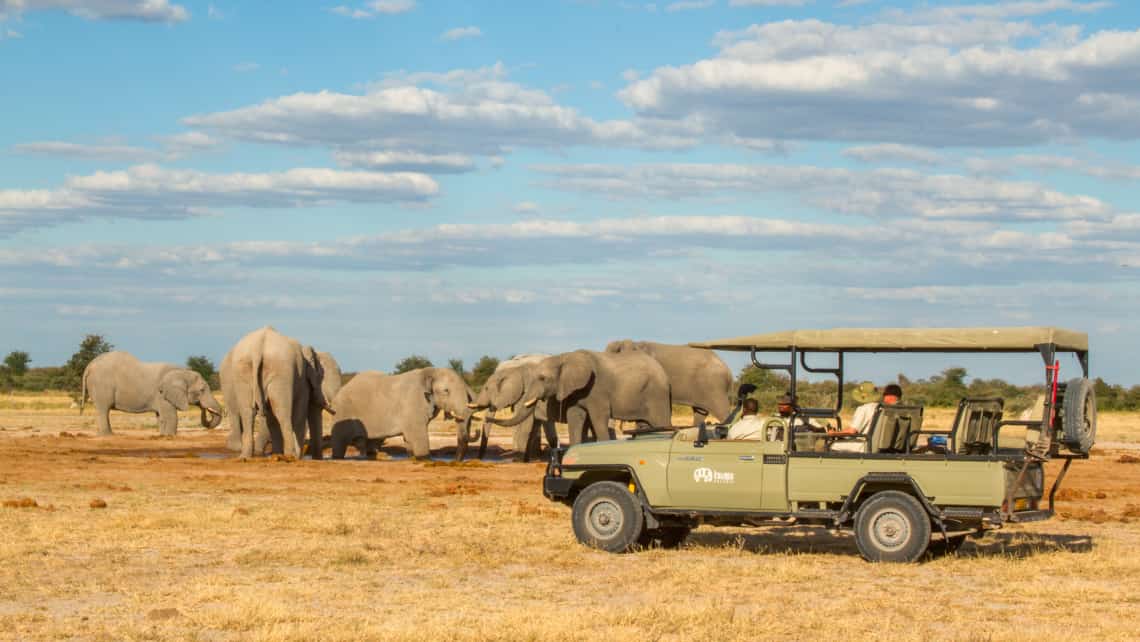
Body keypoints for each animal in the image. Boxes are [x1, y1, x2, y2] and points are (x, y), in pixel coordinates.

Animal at [79, 351, 222, 437]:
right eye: (202, 390)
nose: (203, 408)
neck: (182, 372)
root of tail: (90, 365)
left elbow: (161, 416)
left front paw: (163, 436)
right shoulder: (162, 394)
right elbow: (171, 416)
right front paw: (171, 437)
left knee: (102, 410)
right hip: (101, 386)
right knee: (104, 409)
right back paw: (108, 436)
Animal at [217, 328, 332, 460]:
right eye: (321, 376)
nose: (317, 458)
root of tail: (257, 348)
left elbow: (271, 418)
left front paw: (277, 454)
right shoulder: (301, 382)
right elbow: (298, 414)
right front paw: (293, 456)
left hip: (241, 372)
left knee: (248, 412)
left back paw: (245, 457)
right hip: (281, 372)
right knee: (282, 413)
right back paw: (291, 456)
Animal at [328, 367, 474, 462]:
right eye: (446, 391)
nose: (455, 461)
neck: (432, 371)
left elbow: (409, 438)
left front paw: (412, 458)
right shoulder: (413, 402)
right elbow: (417, 434)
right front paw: (425, 459)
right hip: (341, 412)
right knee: (340, 443)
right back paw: (338, 457)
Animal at [487, 351, 665, 447]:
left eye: (543, 378)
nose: (488, 418)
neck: (563, 357)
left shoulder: (598, 389)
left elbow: (598, 418)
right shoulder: (575, 392)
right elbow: (575, 417)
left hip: (656, 393)